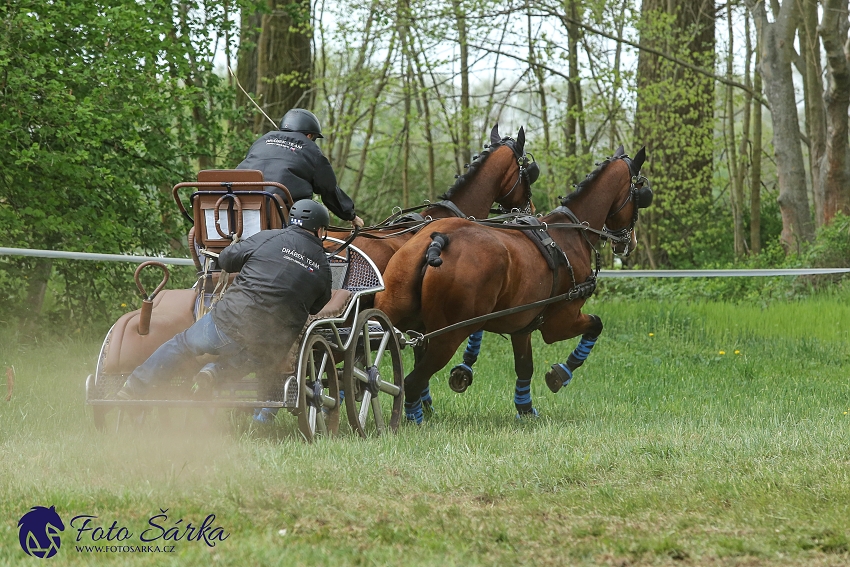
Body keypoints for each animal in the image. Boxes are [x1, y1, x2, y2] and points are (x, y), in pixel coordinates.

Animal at [372, 146, 648, 422]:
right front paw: (561, 373)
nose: (631, 241)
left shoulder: (522, 324)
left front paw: (525, 409)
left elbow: (525, 366)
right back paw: (415, 418)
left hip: (392, 312)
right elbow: (595, 325)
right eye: (642, 192)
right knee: (412, 381)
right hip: (448, 335)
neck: (571, 233)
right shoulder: (560, 322)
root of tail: (437, 239)